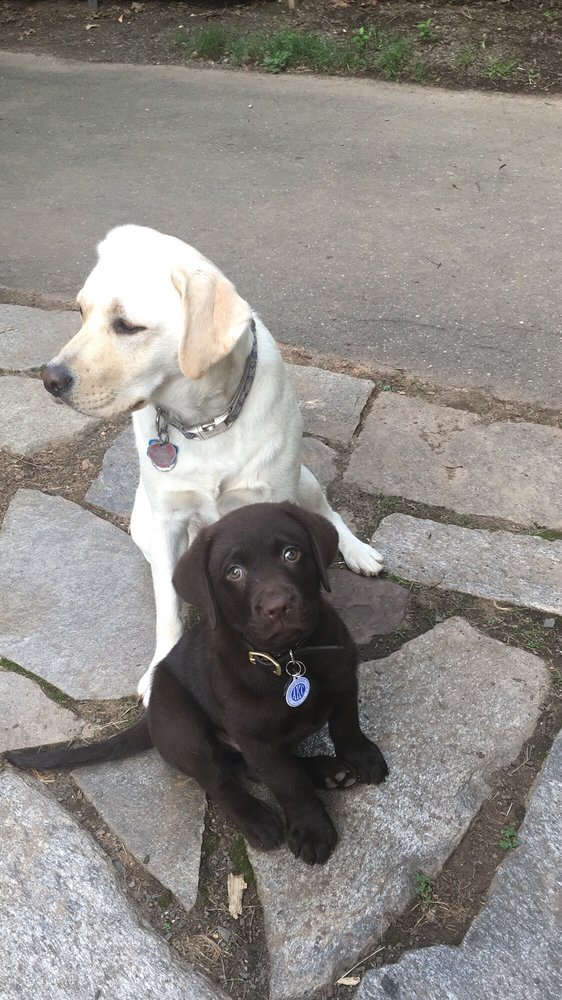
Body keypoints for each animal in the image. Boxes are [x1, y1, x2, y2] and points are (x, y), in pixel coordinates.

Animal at [6, 503, 388, 866]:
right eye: (234, 572)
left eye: (291, 554)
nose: (278, 606)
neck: (290, 659)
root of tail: (151, 716)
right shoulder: (255, 738)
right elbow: (287, 783)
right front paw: (311, 829)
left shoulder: (344, 682)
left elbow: (346, 727)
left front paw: (363, 757)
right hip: (182, 724)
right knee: (219, 779)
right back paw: (257, 818)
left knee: (250, 768)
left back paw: (327, 771)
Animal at [41, 225, 383, 702]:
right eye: (80, 311)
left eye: (127, 325)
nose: (49, 379)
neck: (205, 421)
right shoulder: (167, 520)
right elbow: (169, 609)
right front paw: (160, 671)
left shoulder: (276, 501)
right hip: (143, 523)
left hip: (304, 480)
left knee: (329, 514)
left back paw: (359, 551)